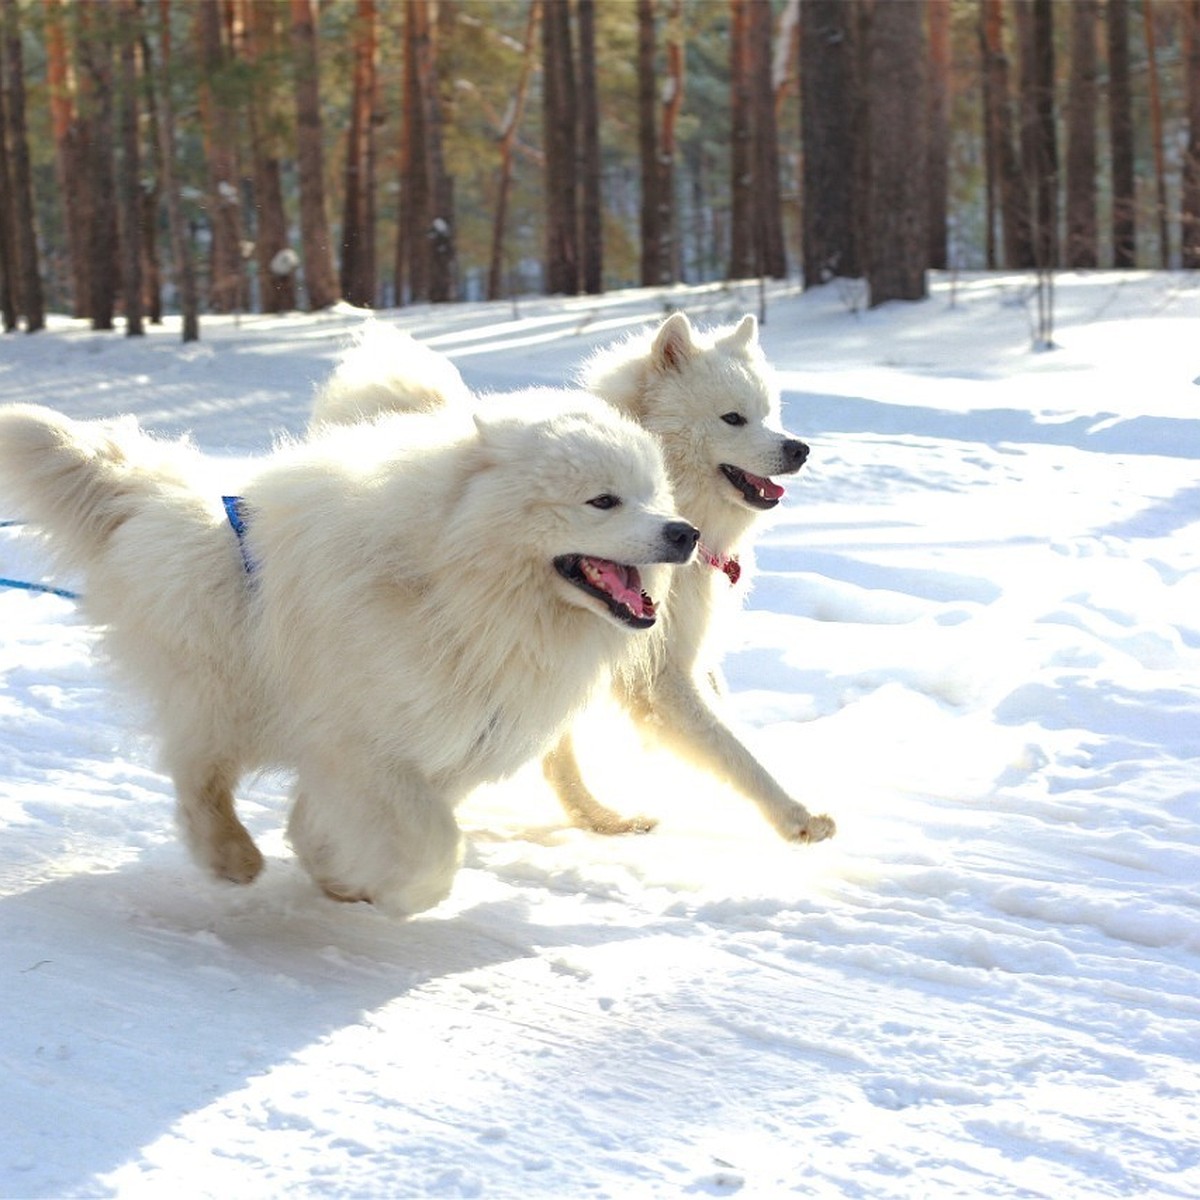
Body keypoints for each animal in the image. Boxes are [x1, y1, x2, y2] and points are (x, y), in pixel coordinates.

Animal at [0, 398, 700, 912]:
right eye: (602, 500)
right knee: (197, 775)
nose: (686, 532)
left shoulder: (445, 745)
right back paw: (230, 855)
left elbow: (328, 820)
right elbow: (433, 846)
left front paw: (333, 873)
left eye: (654, 495)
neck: (449, 585)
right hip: (222, 691)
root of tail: (149, 496)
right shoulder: (364, 744)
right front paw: (399, 896)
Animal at [309, 319, 835, 844]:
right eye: (733, 418)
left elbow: (726, 720)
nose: (799, 448)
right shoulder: (657, 677)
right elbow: (730, 749)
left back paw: (602, 818)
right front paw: (798, 816)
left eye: (770, 414)